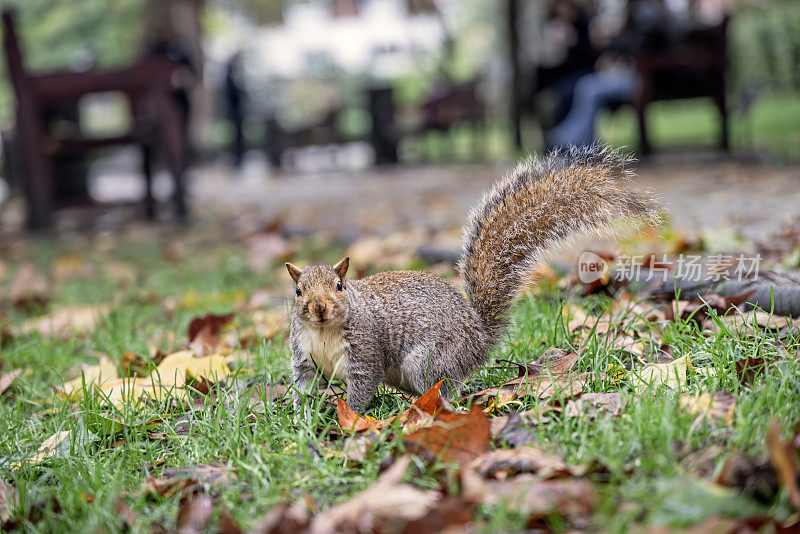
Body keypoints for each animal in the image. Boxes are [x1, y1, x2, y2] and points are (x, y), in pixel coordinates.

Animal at [284, 144, 660, 412]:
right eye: (299, 291)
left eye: (339, 286)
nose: (319, 308)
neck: (324, 332)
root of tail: (479, 338)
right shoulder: (304, 357)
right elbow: (304, 386)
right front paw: (301, 414)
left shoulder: (365, 352)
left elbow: (362, 388)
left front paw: (349, 415)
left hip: (430, 360)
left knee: (444, 388)